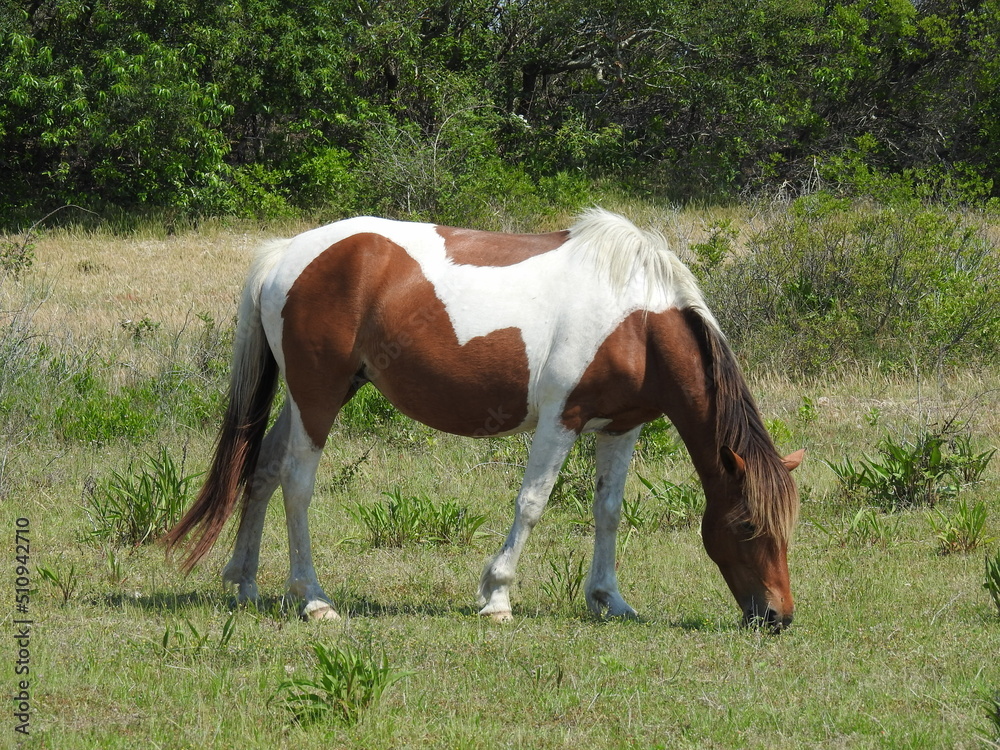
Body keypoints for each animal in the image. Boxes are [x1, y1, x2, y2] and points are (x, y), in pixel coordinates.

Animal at [165, 209, 803, 630]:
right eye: (748, 526)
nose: (777, 615)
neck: (637, 320)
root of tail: (287, 252)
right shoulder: (561, 420)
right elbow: (533, 504)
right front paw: (497, 597)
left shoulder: (622, 428)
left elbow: (609, 511)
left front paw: (609, 599)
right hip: (318, 397)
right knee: (297, 483)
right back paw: (314, 598)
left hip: (314, 397)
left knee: (264, 470)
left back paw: (244, 582)